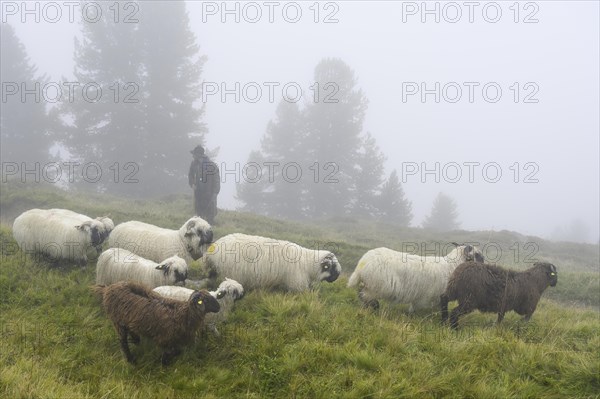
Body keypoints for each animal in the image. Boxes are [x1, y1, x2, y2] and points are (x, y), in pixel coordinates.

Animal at [204, 234, 340, 294]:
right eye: (332, 267)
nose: (336, 278)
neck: (308, 263)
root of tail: (211, 251)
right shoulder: (297, 283)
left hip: (215, 271)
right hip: (231, 273)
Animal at [346, 244, 482, 312]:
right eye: (477, 254)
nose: (484, 265)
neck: (452, 265)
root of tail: (362, 263)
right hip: (375, 287)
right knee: (364, 296)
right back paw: (374, 308)